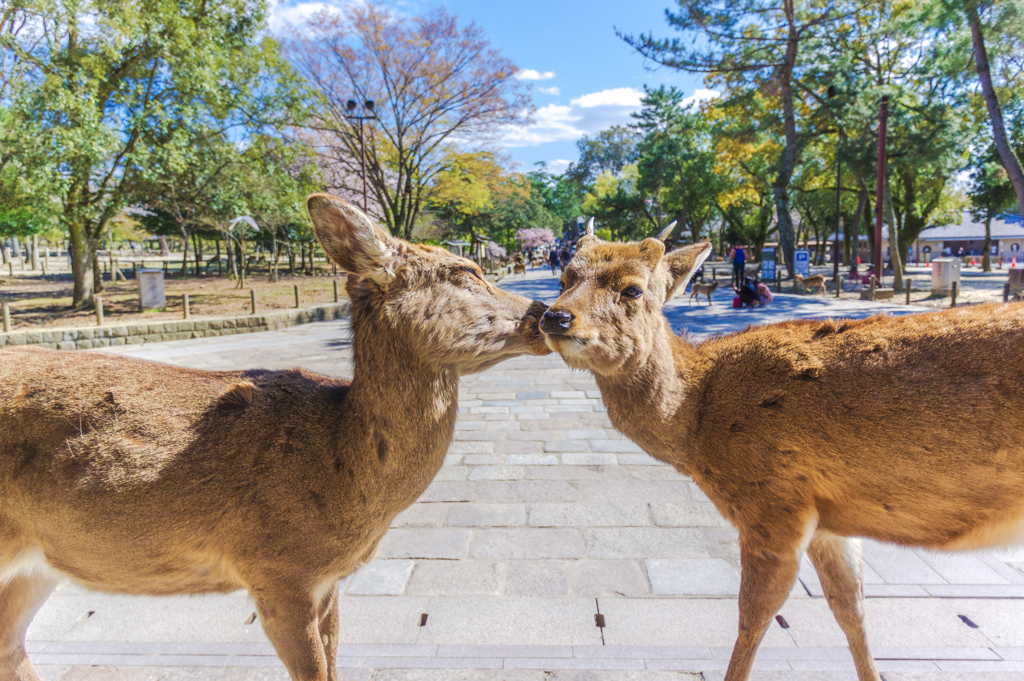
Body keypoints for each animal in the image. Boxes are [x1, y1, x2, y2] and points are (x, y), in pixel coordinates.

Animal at [0, 192, 552, 679]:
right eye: (466, 270)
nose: (546, 314)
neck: (344, 472)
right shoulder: (276, 568)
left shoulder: (328, 583)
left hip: (33, 567)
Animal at [536, 219, 1024, 679]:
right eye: (564, 277)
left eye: (633, 288)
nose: (555, 317)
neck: (698, 424)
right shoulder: (829, 516)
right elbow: (852, 610)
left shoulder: (772, 503)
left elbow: (754, 616)